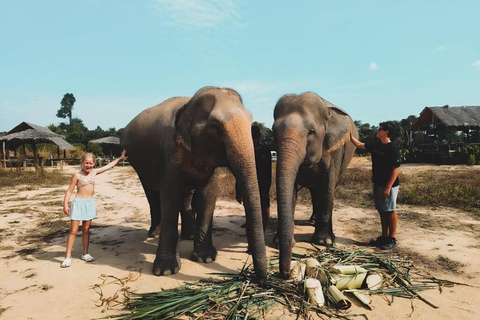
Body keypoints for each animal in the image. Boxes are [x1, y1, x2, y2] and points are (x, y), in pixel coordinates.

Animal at [120, 85, 268, 282]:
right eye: (215, 127)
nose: (260, 280)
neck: (188, 104)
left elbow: (207, 195)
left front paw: (206, 258)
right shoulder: (170, 150)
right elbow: (169, 196)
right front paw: (166, 271)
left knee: (185, 196)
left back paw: (188, 236)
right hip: (137, 162)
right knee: (152, 194)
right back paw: (155, 234)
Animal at [272, 92, 358, 278]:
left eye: (311, 132)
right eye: (273, 131)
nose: (285, 273)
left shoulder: (334, 148)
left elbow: (327, 187)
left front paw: (323, 241)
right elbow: (291, 191)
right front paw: (280, 242)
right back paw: (312, 220)